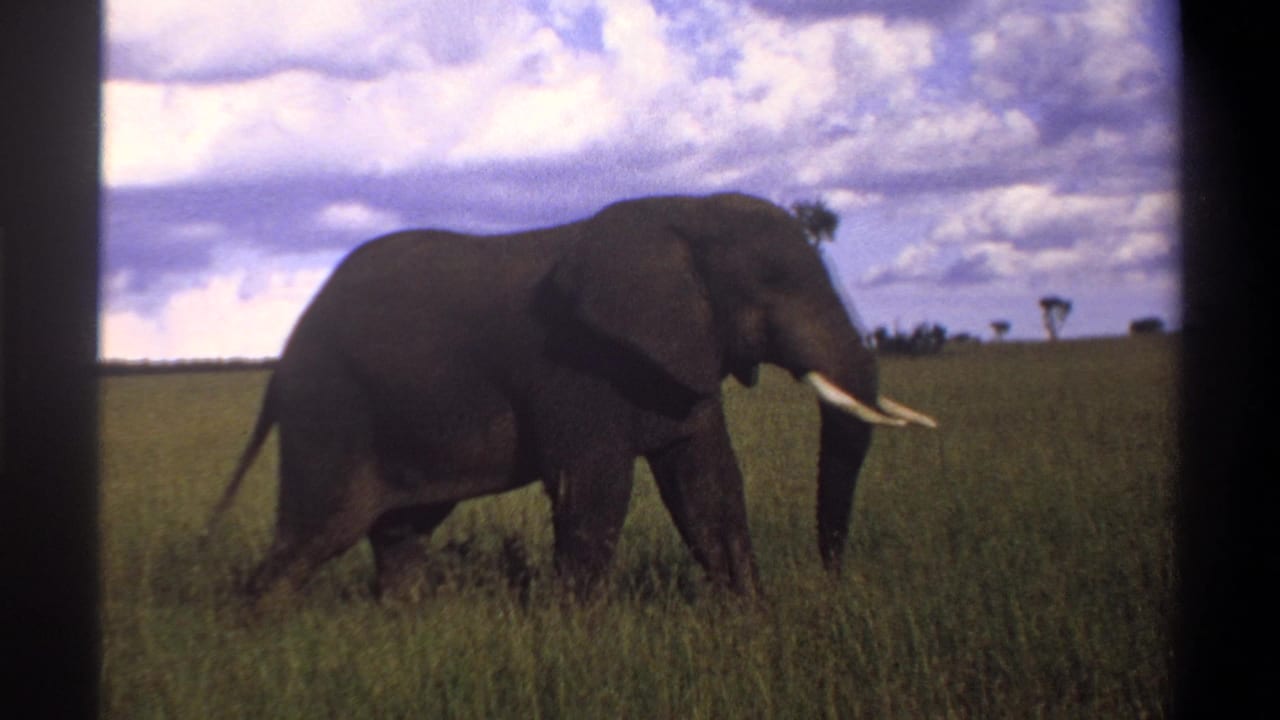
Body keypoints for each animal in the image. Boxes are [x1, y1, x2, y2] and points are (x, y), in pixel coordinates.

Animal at [206, 192, 936, 604]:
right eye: (776, 283)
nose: (833, 581)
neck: (680, 212)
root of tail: (283, 359)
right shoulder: (573, 366)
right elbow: (596, 490)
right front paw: (580, 636)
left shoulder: (680, 359)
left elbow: (709, 486)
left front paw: (752, 618)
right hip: (330, 411)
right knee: (315, 535)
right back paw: (262, 633)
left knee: (400, 531)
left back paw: (405, 624)